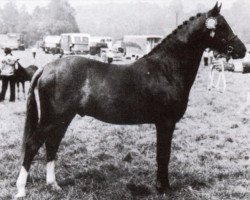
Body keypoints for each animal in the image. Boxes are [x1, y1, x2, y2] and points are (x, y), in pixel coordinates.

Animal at [15, 3, 246, 198]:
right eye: (222, 26)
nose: (242, 50)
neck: (166, 69)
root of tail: (47, 67)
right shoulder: (166, 123)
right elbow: (164, 155)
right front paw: (163, 188)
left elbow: (163, 155)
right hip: (51, 119)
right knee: (33, 145)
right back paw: (21, 190)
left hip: (63, 118)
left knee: (52, 144)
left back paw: (53, 185)